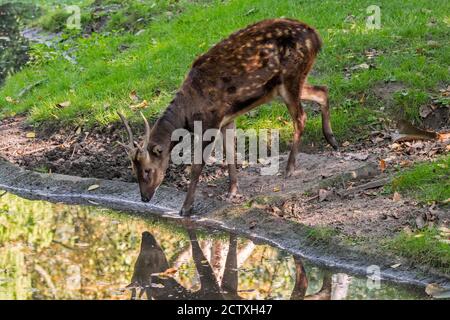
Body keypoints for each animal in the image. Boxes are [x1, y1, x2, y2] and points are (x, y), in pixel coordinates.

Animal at [118, 18, 340, 216]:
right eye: (133, 169)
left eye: (147, 170)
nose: (144, 198)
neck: (189, 111)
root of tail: (316, 36)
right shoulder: (227, 119)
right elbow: (231, 154)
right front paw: (233, 191)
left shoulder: (212, 120)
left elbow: (197, 165)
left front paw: (185, 209)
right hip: (284, 85)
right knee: (322, 90)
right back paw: (332, 141)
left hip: (291, 76)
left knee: (301, 117)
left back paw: (290, 168)